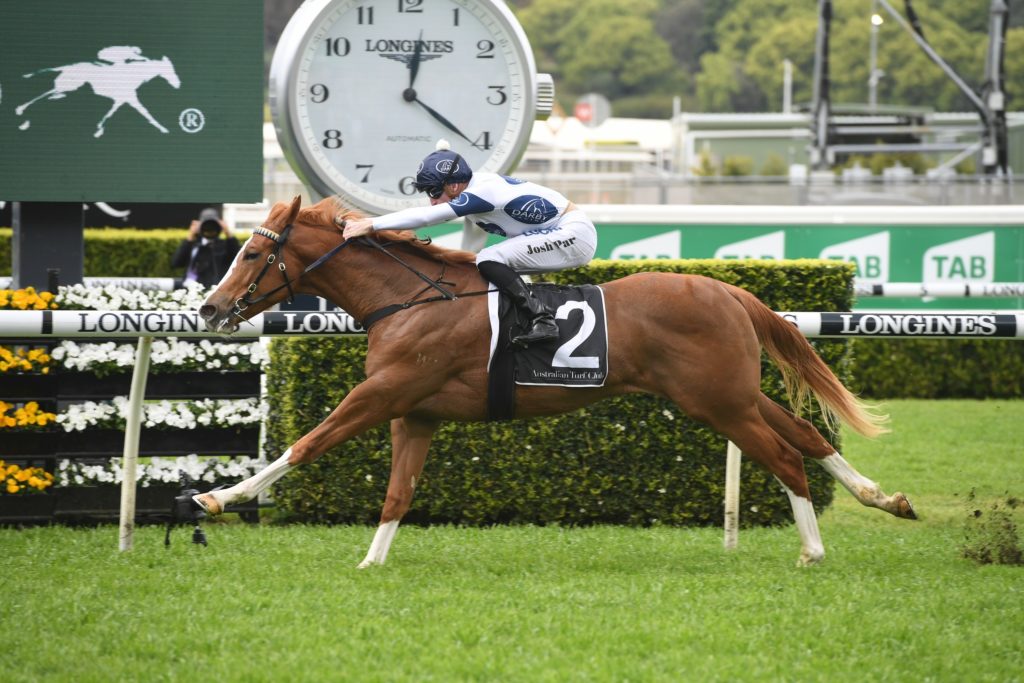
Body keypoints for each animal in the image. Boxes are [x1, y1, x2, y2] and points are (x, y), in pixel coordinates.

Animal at [16, 54, 180, 137]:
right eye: (170, 70)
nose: (178, 85)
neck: (132, 76)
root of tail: (71, 66)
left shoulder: (121, 99)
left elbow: (110, 113)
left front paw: (99, 129)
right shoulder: (130, 98)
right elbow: (146, 113)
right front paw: (163, 128)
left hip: (72, 86)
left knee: (52, 93)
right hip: (69, 84)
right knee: (46, 93)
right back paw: (20, 109)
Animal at [194, 196, 917, 568]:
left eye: (251, 252)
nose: (209, 307)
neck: (410, 299)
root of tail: (732, 292)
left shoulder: (383, 393)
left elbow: (307, 444)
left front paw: (219, 498)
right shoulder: (415, 411)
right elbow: (398, 492)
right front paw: (373, 563)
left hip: (718, 403)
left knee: (786, 456)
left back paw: (814, 551)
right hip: (733, 394)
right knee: (804, 434)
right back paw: (885, 498)